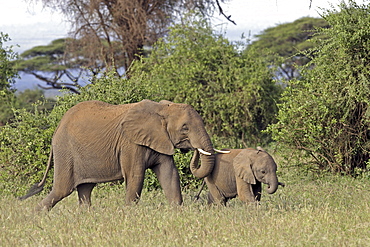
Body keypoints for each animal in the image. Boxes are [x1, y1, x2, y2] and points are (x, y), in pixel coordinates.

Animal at [19, 99, 217, 209]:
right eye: (185, 128)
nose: (194, 150)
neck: (162, 109)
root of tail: (57, 127)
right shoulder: (130, 143)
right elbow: (136, 176)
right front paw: (130, 213)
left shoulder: (160, 139)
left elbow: (169, 174)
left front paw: (177, 211)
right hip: (65, 150)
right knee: (61, 189)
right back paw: (34, 215)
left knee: (85, 189)